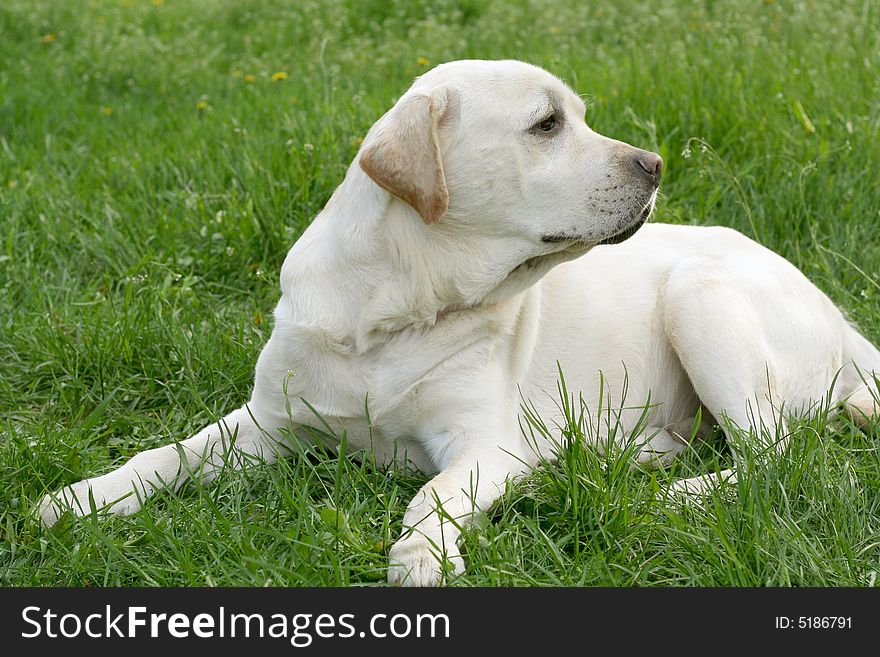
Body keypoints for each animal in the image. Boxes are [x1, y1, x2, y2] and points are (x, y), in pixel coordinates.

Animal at [39, 60, 880, 584]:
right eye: (547, 124)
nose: (656, 164)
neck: (396, 309)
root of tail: (842, 321)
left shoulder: (481, 443)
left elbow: (429, 496)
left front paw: (420, 557)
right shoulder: (269, 421)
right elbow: (168, 453)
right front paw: (82, 498)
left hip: (698, 293)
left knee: (778, 458)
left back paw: (670, 492)